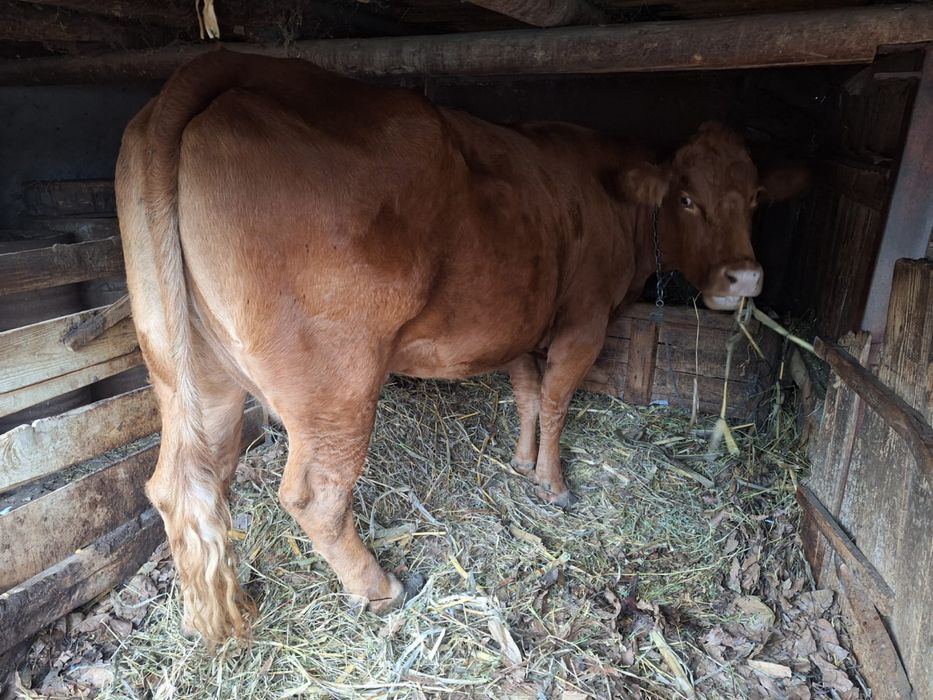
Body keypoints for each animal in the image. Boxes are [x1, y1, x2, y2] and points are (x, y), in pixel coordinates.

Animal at [115, 50, 806, 643]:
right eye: (686, 199)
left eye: (755, 197)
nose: (746, 277)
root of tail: (240, 68)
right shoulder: (584, 319)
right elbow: (557, 398)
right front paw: (552, 483)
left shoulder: (521, 322)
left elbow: (528, 392)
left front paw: (524, 462)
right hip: (334, 383)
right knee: (315, 494)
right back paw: (380, 588)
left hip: (193, 372)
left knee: (186, 483)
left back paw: (206, 616)